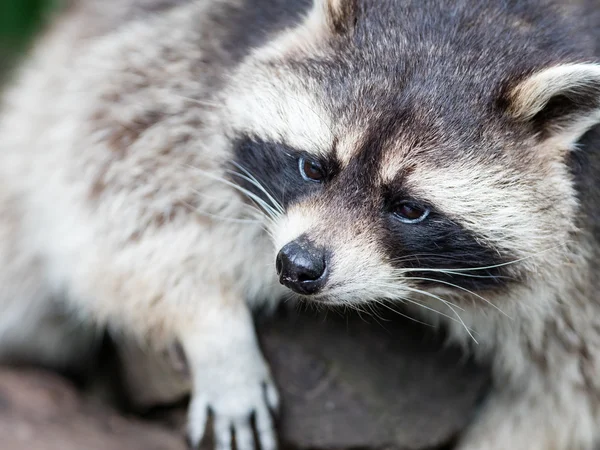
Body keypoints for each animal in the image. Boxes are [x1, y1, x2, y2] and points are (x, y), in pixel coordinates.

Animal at [1, 0, 600, 448]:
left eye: (409, 208)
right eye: (313, 167)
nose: (297, 266)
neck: (483, 23)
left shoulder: (586, 255)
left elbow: (564, 400)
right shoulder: (190, 50)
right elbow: (111, 180)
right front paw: (214, 328)